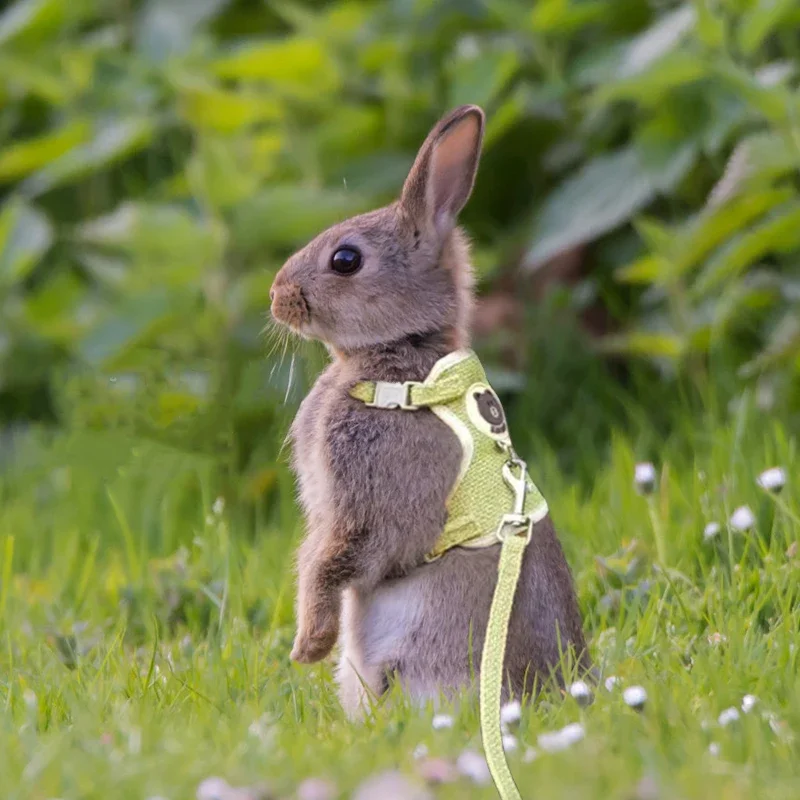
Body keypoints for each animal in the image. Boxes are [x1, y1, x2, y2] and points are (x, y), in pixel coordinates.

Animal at [270, 104, 591, 717]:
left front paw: (308, 646)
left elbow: (333, 562)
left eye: (346, 260)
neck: (399, 358)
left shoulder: (366, 509)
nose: (277, 297)